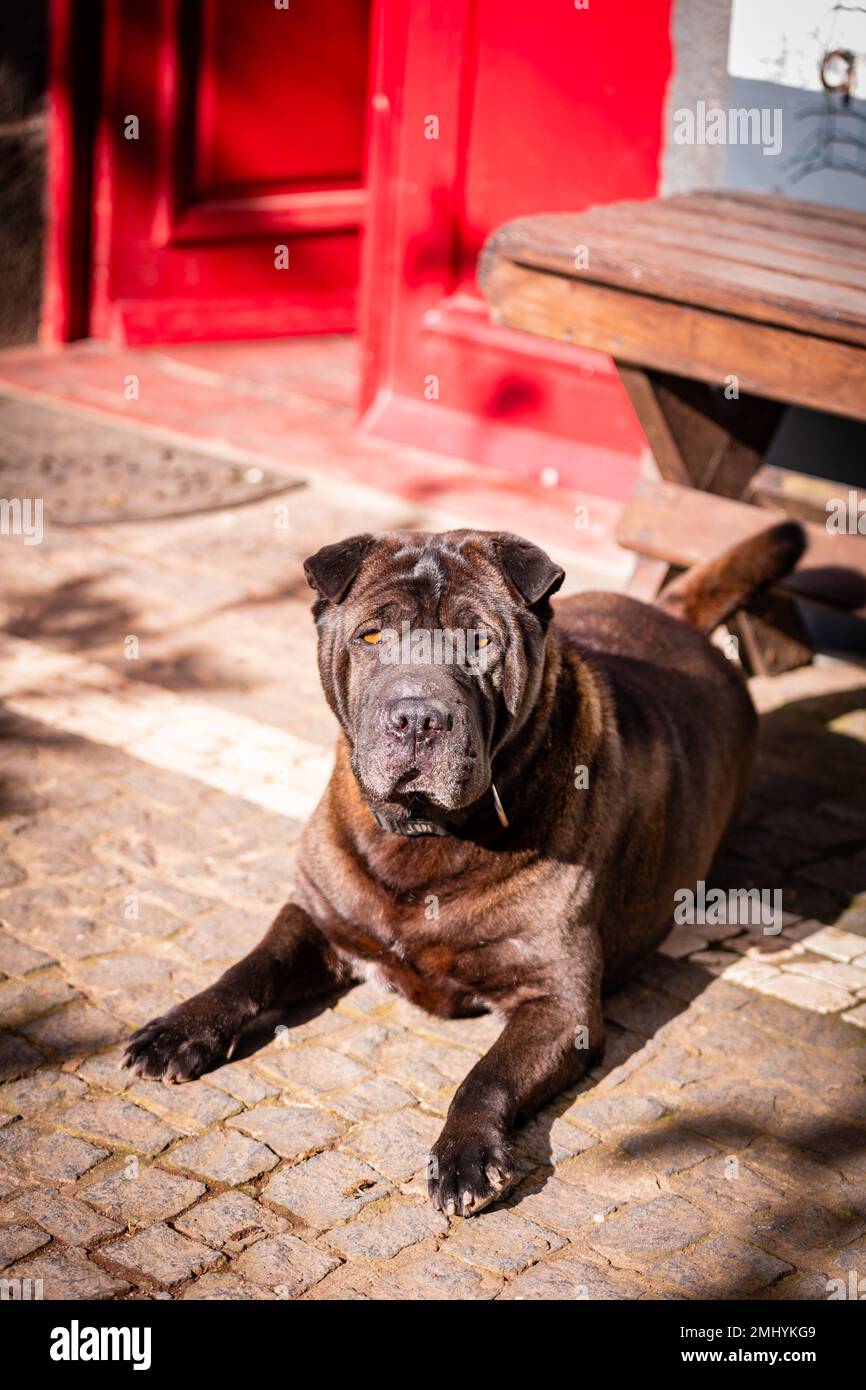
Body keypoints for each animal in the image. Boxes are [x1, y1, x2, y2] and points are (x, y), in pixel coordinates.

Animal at [127, 522, 806, 1217]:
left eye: (479, 640)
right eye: (371, 636)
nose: (417, 717)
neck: (427, 841)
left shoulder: (558, 1000)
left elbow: (488, 1074)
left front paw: (464, 1155)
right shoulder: (318, 915)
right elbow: (249, 969)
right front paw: (181, 1028)